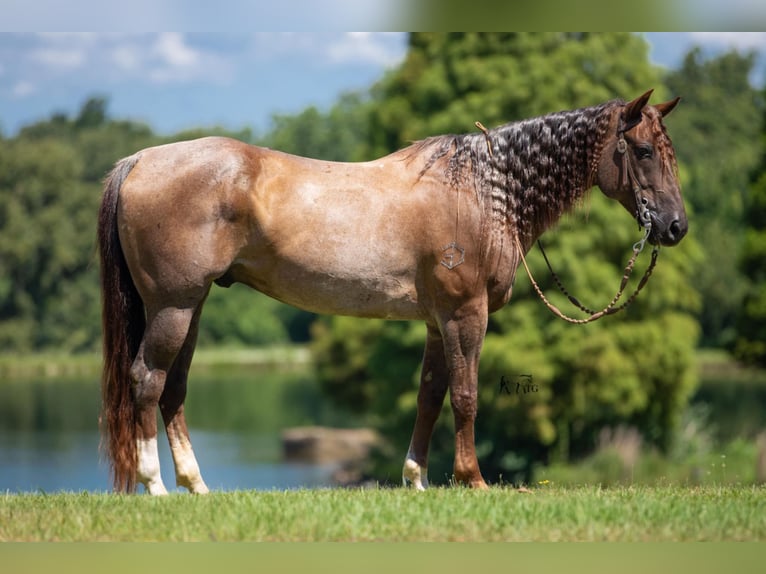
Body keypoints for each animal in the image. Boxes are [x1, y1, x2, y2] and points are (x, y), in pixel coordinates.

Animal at [97, 89, 688, 496]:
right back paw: (155, 486)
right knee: (147, 381)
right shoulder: (465, 314)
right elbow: (466, 395)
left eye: (668, 151)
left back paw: (196, 485)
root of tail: (139, 161)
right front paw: (471, 479)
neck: (483, 190)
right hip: (173, 307)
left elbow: (430, 395)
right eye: (641, 150)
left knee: (173, 390)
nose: (675, 226)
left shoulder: (436, 321)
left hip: (190, 308)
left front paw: (417, 479)